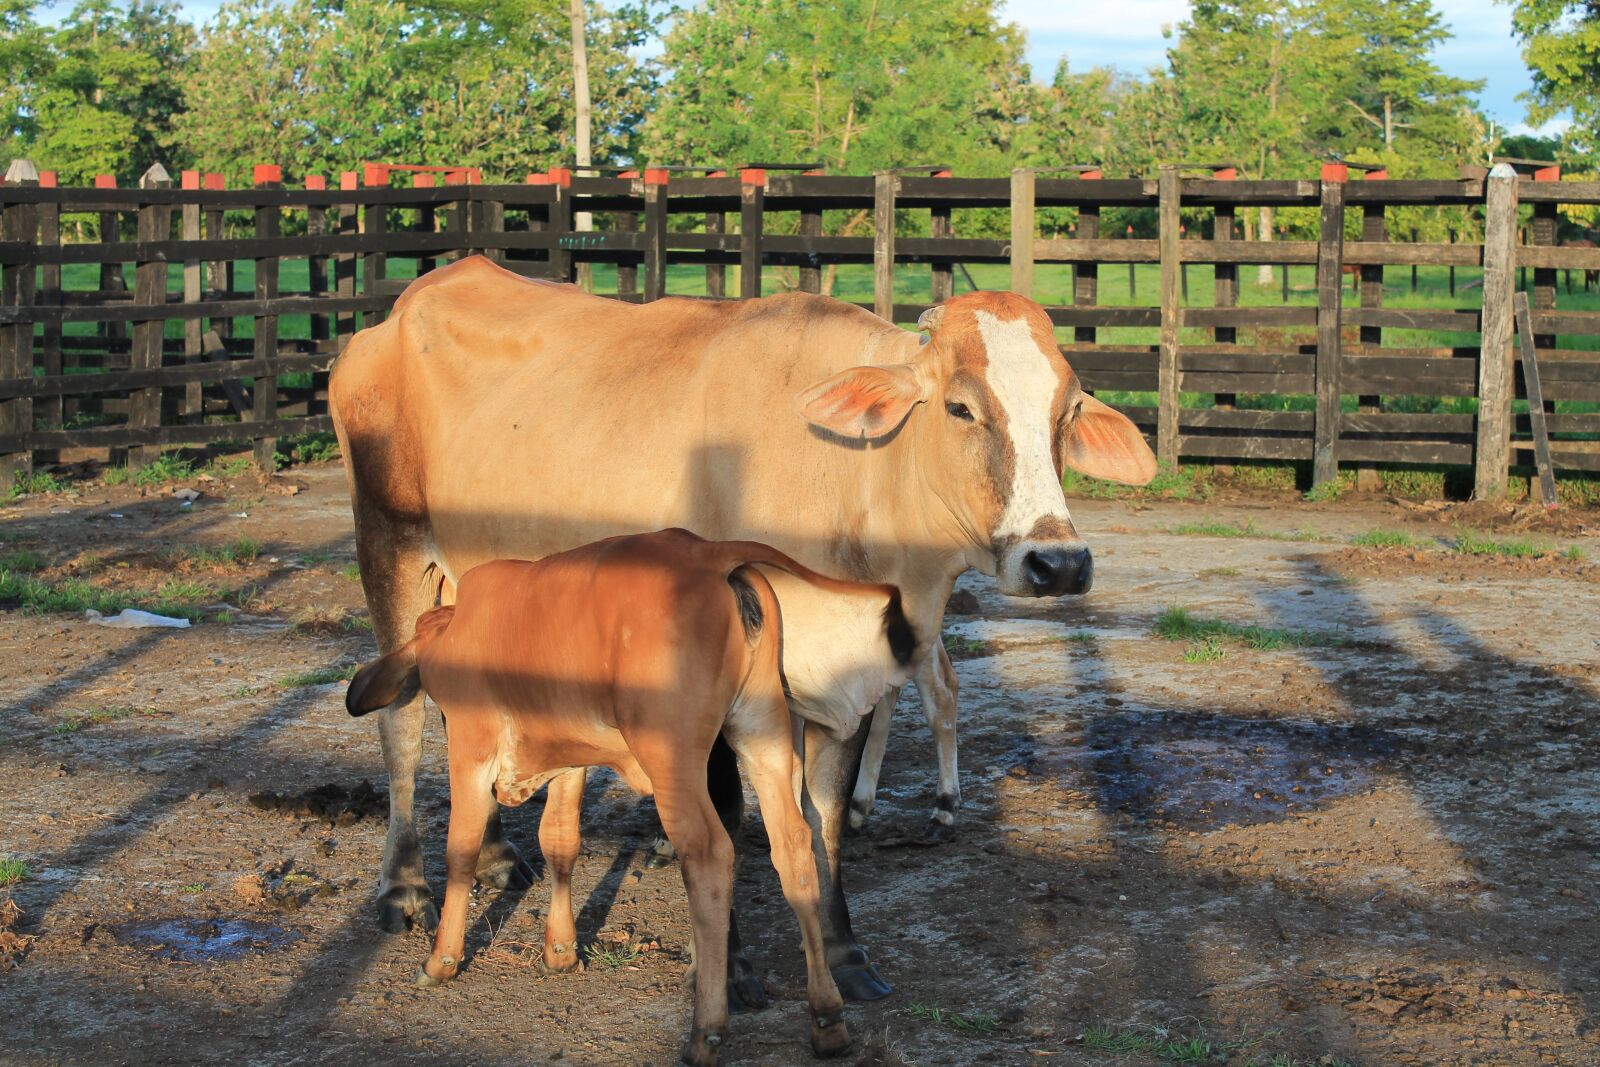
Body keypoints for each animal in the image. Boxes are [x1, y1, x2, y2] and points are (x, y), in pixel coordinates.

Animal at [329, 255, 1156, 1004]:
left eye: (1068, 411)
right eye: (960, 407)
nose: (1057, 561)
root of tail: (407, 304)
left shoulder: (849, 680)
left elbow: (826, 816)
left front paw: (846, 953)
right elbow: (726, 814)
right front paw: (736, 967)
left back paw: (497, 854)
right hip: (390, 540)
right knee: (401, 716)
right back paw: (403, 886)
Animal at [343, 529, 917, 1066]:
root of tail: (709, 555)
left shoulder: (471, 747)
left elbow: (461, 850)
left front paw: (441, 960)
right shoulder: (570, 759)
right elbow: (560, 842)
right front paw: (560, 949)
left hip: (674, 757)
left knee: (710, 855)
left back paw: (706, 1031)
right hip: (764, 734)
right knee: (795, 845)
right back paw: (827, 1018)